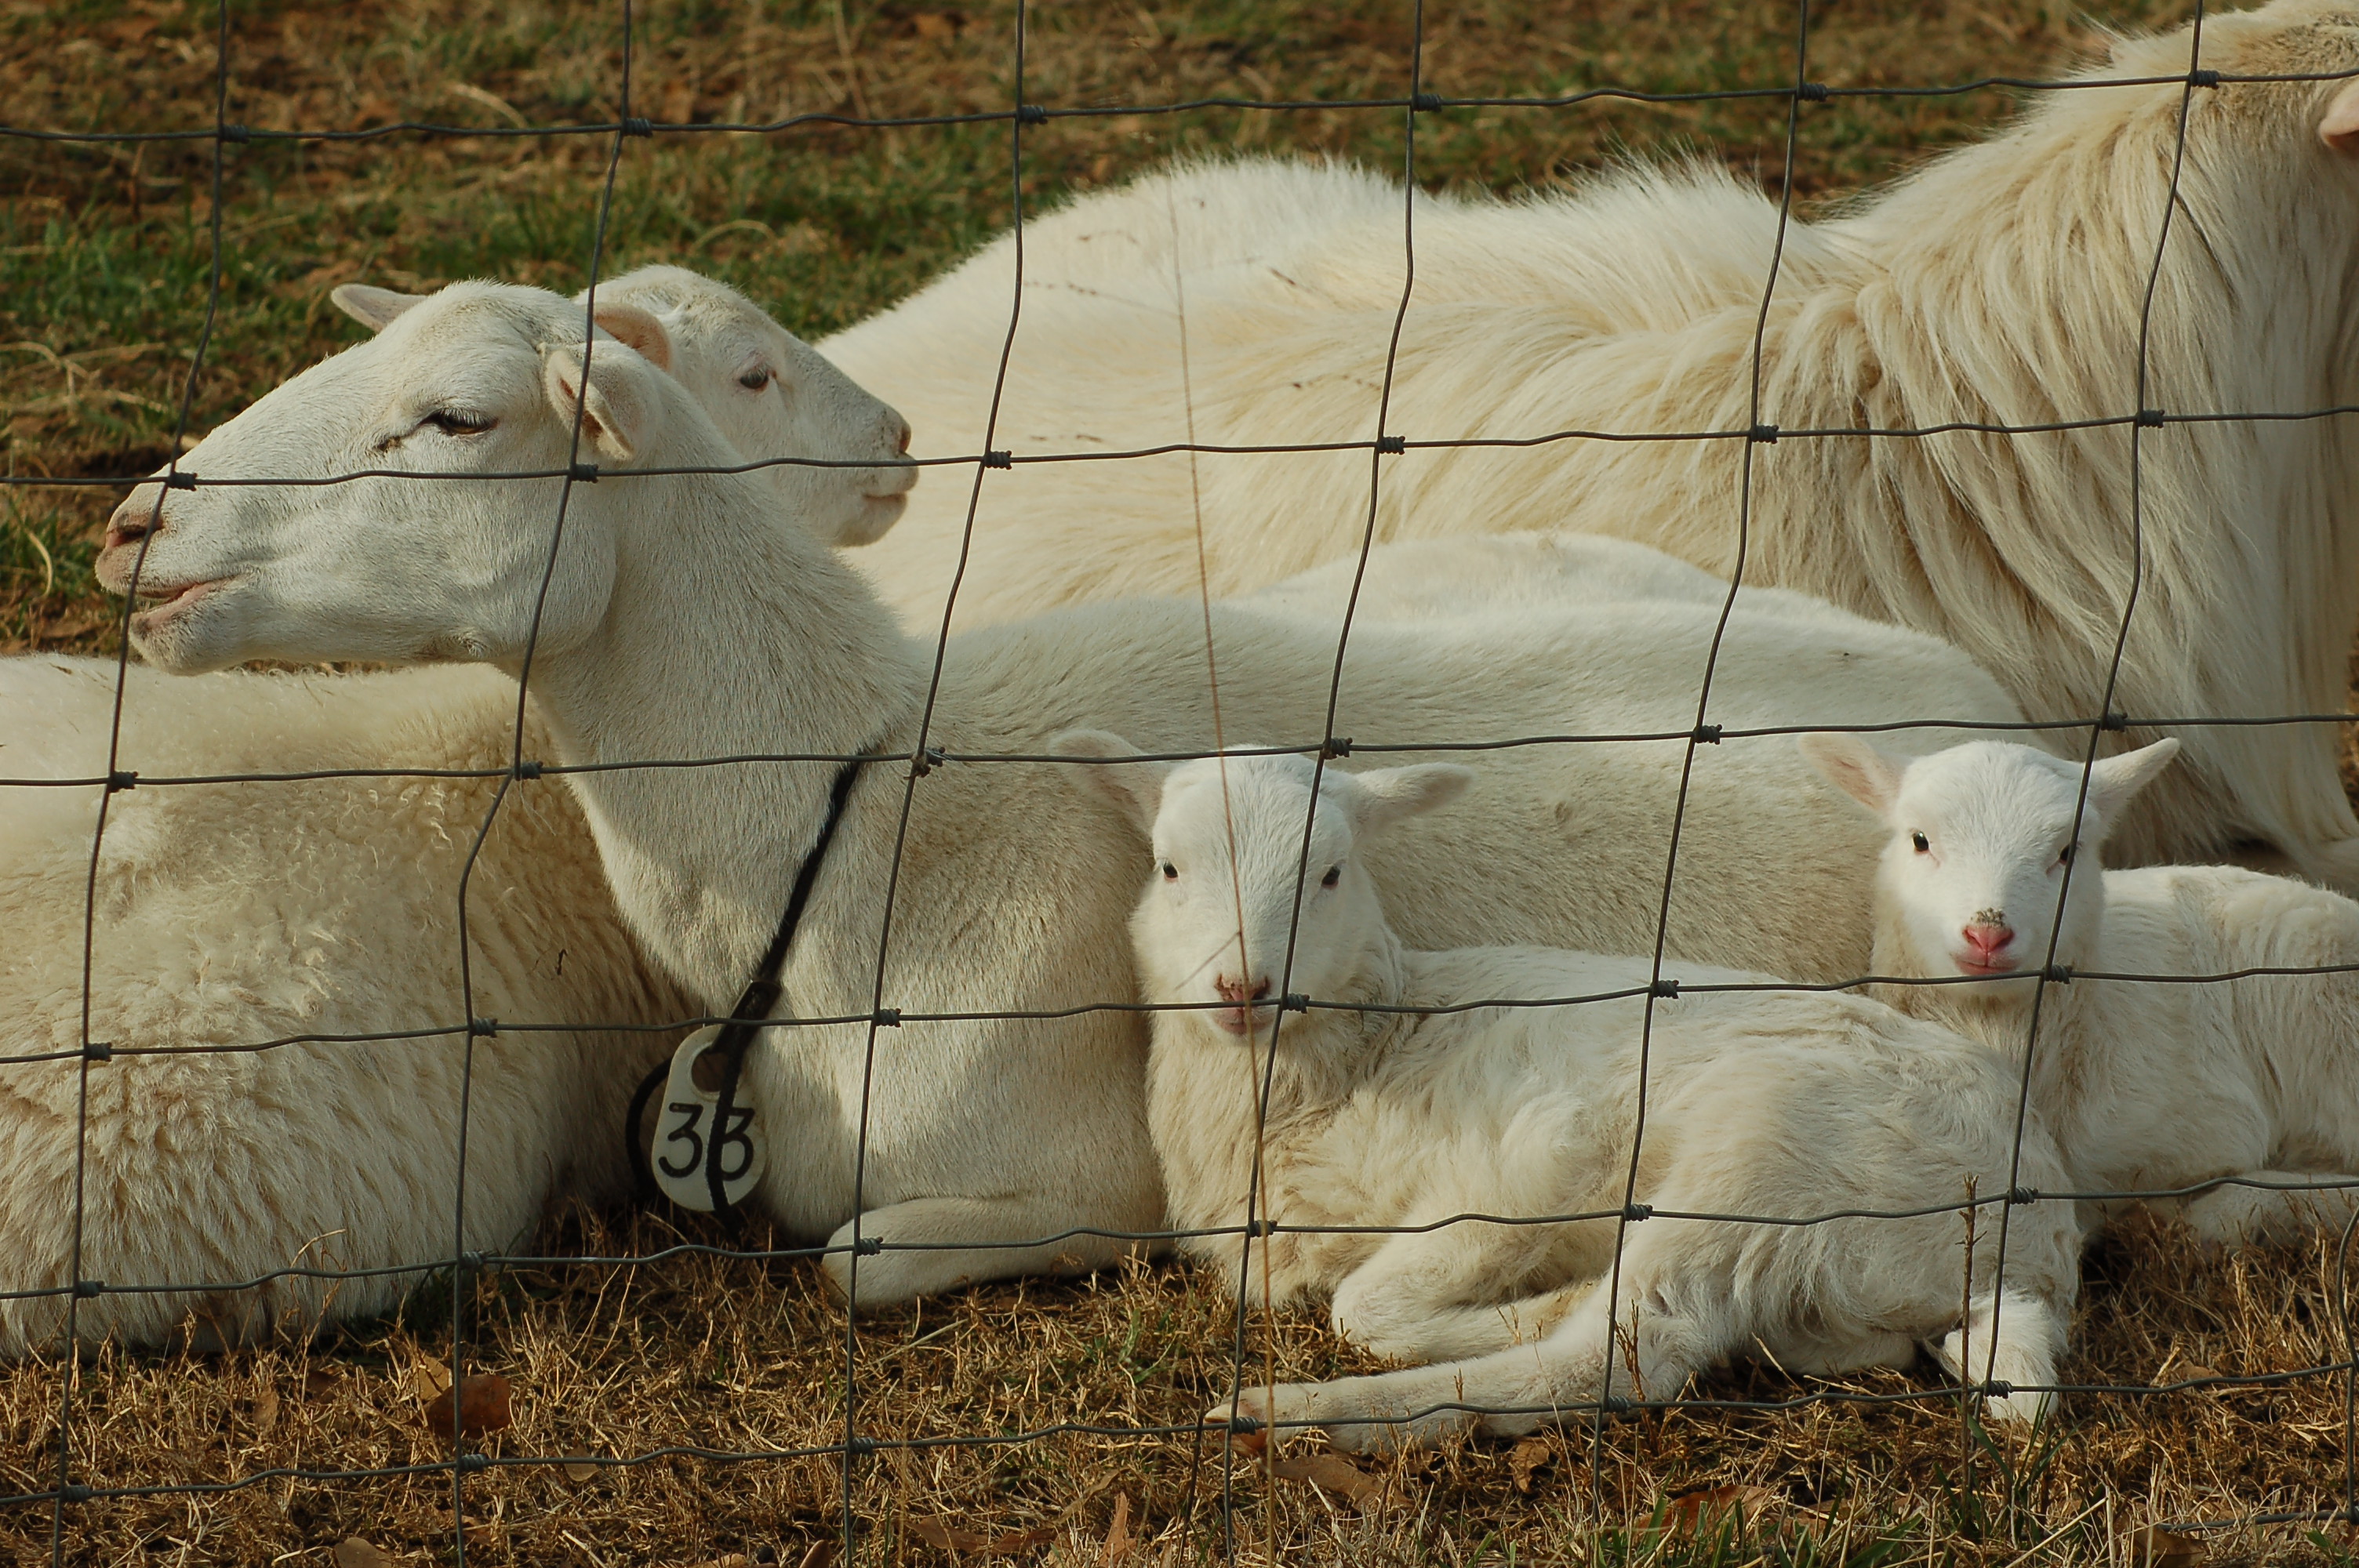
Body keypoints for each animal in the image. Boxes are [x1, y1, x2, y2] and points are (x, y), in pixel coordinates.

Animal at [1042, 735, 2076, 1443]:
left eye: (1329, 874)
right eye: (1168, 867)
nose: (1241, 986)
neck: (1364, 1051)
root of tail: (2033, 1241)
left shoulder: (1536, 1158)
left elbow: (1364, 1306)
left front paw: (1517, 1304)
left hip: (1771, 1156)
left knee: (1619, 1354)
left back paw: (1293, 1413)